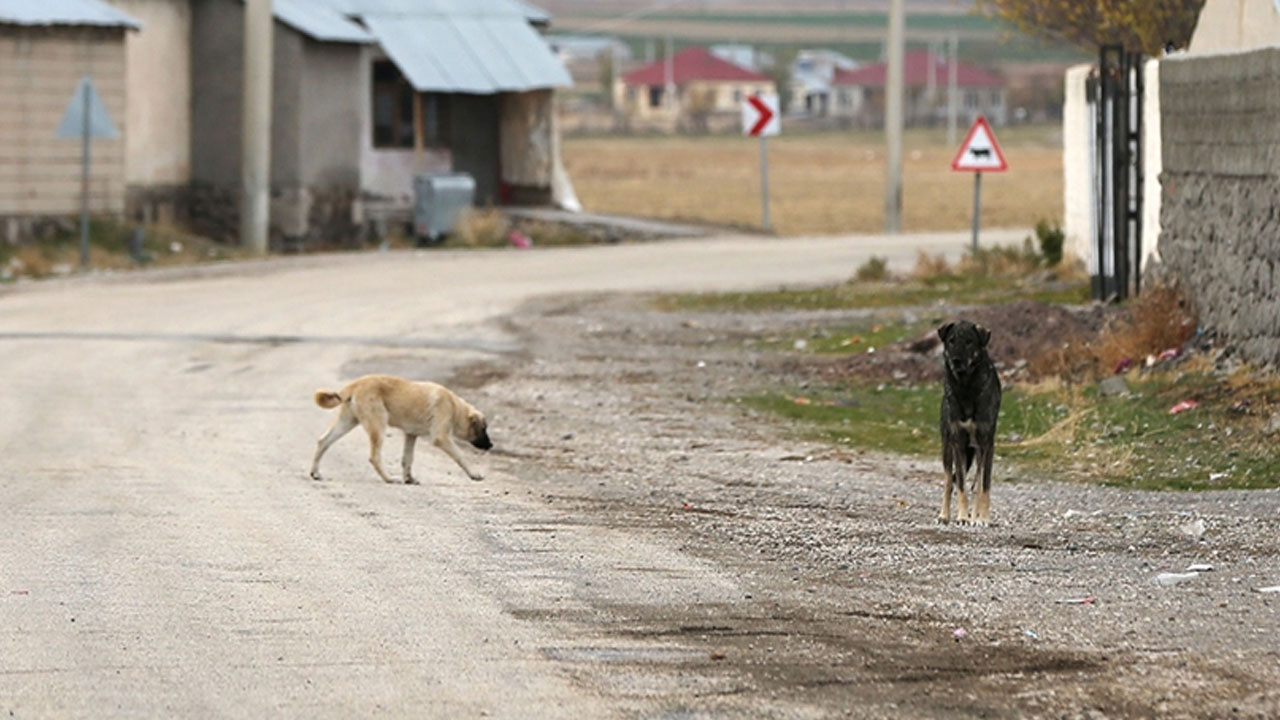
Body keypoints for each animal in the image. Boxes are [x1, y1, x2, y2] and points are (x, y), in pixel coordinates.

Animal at [307, 376, 491, 481]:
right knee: (374, 456)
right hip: (378, 425)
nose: (491, 446)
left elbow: (407, 458)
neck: (455, 407)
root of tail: (353, 385)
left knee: (323, 441)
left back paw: (315, 473)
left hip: (347, 422)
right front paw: (474, 474)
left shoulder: (411, 435)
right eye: (483, 428)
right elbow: (460, 456)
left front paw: (409, 479)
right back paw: (388, 478)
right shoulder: (441, 437)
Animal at [942, 319, 998, 520]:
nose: (956, 360)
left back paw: (976, 516)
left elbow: (983, 485)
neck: (966, 388)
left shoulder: (987, 443)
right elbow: (960, 485)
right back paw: (944, 515)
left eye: (969, 341)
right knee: (949, 481)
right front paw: (962, 516)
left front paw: (983, 518)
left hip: (977, 451)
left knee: (977, 484)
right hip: (947, 447)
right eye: (951, 341)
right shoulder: (957, 442)